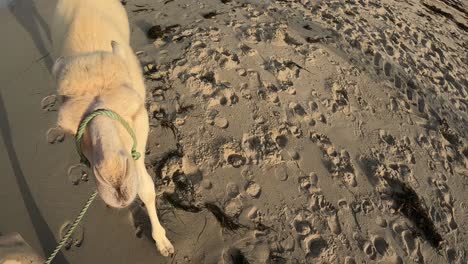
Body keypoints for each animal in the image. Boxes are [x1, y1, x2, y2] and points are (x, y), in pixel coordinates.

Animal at [51, 0, 175, 256]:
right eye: (68, 129)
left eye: (134, 110)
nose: (116, 182)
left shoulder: (139, 136)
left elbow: (146, 188)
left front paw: (162, 242)